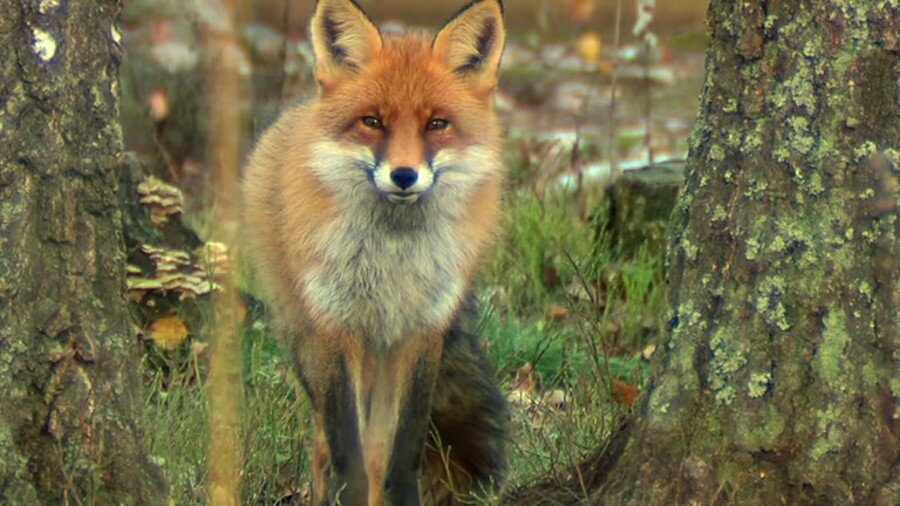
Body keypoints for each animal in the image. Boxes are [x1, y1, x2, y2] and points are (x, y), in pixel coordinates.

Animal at [241, 0, 508, 504]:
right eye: (373, 121)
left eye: (436, 124)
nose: (403, 175)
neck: (393, 262)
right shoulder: (336, 329)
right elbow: (348, 450)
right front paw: (345, 494)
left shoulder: (421, 333)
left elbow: (400, 452)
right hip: (305, 341)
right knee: (323, 441)